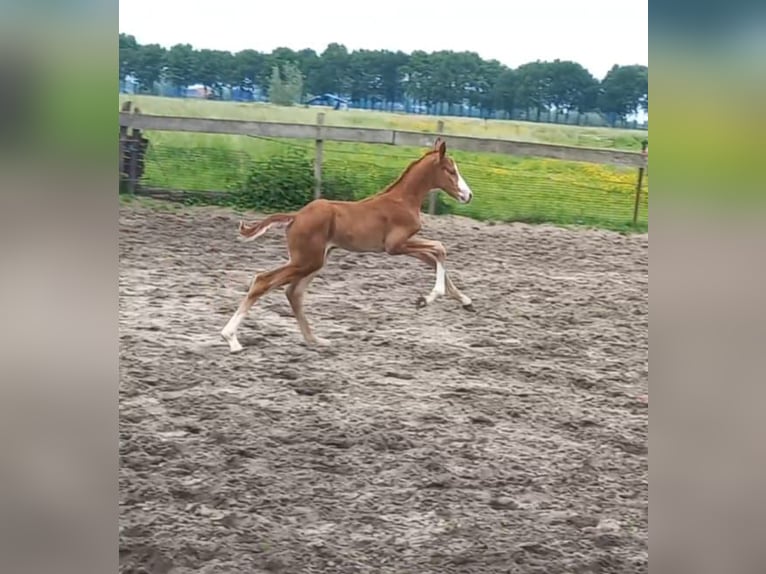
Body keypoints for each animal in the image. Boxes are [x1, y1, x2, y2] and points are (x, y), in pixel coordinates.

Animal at [220, 140, 474, 356]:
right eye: (451, 171)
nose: (468, 195)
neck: (403, 200)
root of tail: (296, 216)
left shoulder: (405, 245)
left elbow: (434, 259)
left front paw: (464, 301)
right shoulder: (395, 245)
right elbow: (440, 249)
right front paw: (429, 298)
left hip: (314, 261)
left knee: (293, 293)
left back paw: (315, 340)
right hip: (306, 261)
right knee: (263, 281)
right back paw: (231, 339)